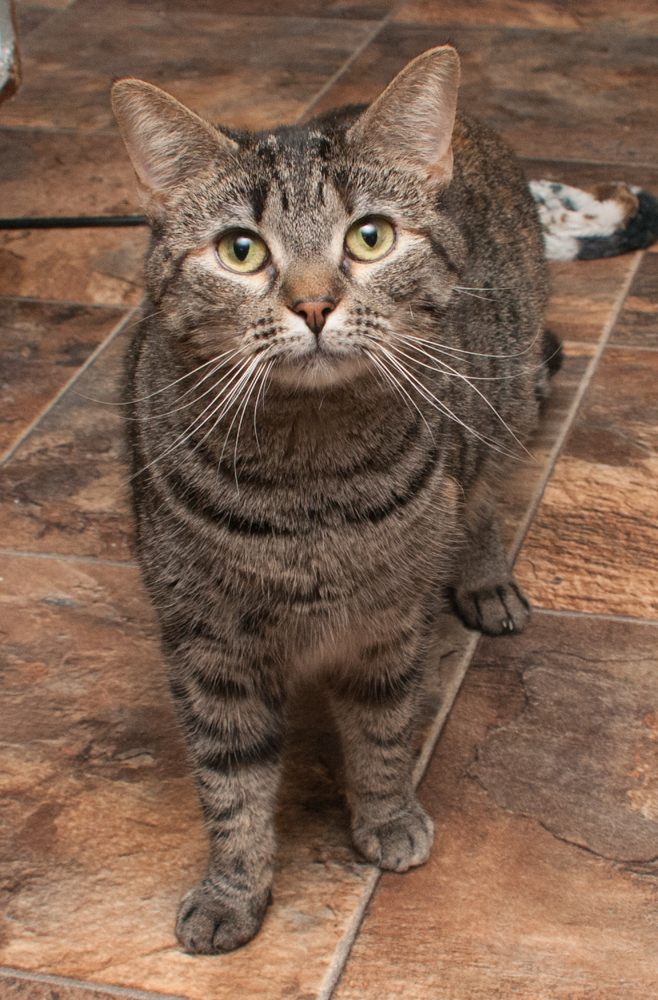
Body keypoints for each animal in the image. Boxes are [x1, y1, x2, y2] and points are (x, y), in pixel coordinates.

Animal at [111, 47, 548, 952]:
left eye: (369, 237)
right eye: (241, 251)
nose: (314, 303)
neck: (309, 491)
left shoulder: (389, 626)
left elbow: (383, 734)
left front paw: (385, 818)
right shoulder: (207, 648)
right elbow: (229, 780)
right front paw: (234, 889)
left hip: (502, 405)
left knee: (482, 498)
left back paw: (485, 578)